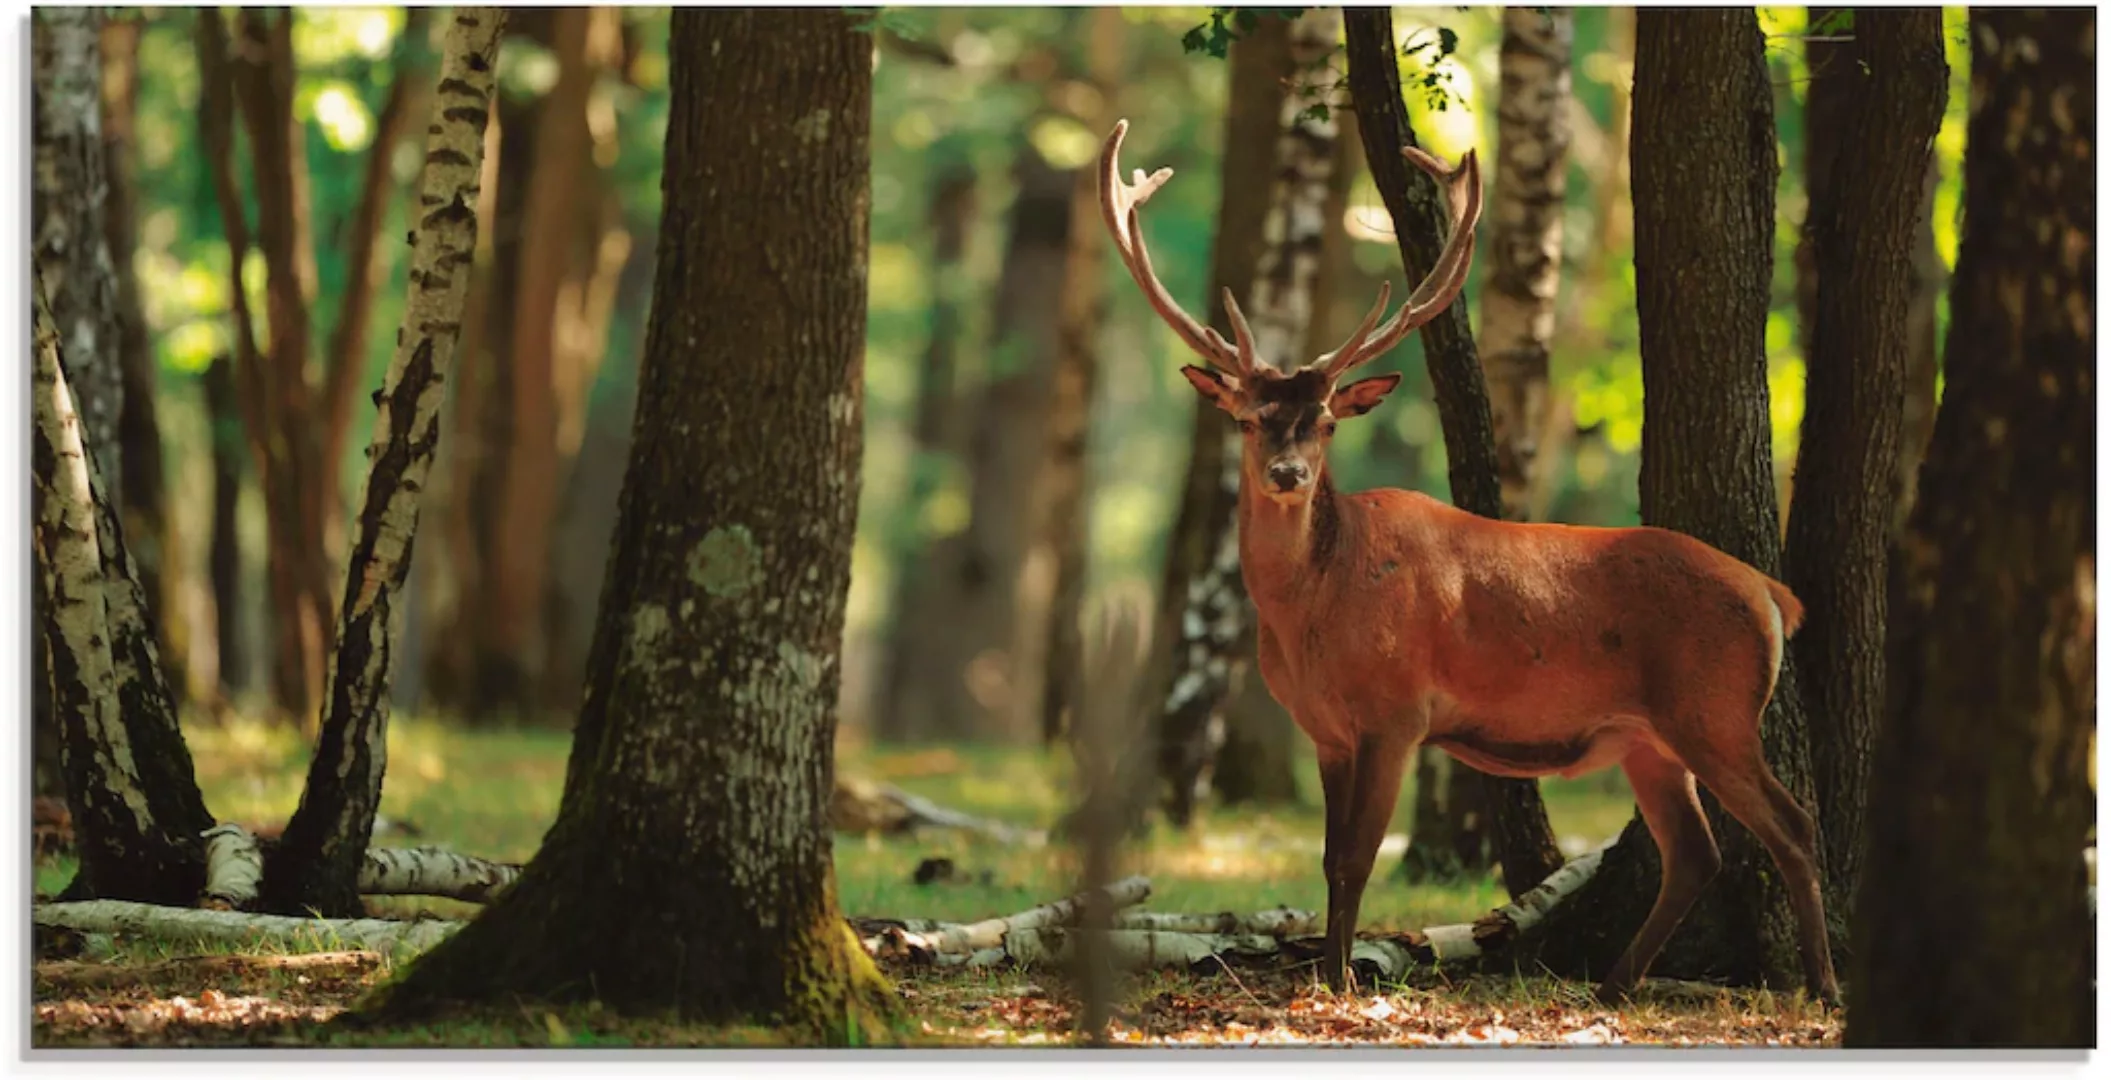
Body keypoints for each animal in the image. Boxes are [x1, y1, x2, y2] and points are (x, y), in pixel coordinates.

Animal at [1097, 122, 1840, 1008]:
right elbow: (1328, 858)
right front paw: (1326, 971)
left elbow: (1356, 858)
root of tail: (1771, 592)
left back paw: (1822, 985)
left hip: (1715, 710)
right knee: (1695, 850)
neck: (1312, 609)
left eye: (1326, 423)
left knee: (1793, 825)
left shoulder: (1396, 711)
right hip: (1647, 737)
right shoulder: (1325, 730)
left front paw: (1340, 980)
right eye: (1247, 418)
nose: (1288, 474)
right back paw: (1613, 982)